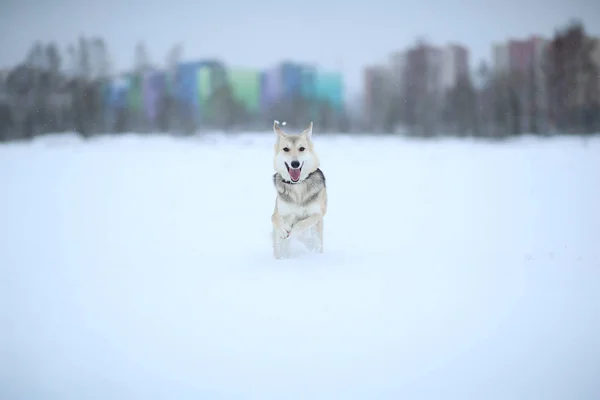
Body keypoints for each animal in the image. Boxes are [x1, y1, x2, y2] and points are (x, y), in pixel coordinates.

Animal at [272, 120, 328, 260]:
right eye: (286, 149)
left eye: (301, 148)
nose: (295, 164)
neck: (297, 185)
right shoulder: (280, 211)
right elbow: (274, 217)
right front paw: (283, 229)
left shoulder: (318, 213)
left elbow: (302, 223)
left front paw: (293, 231)